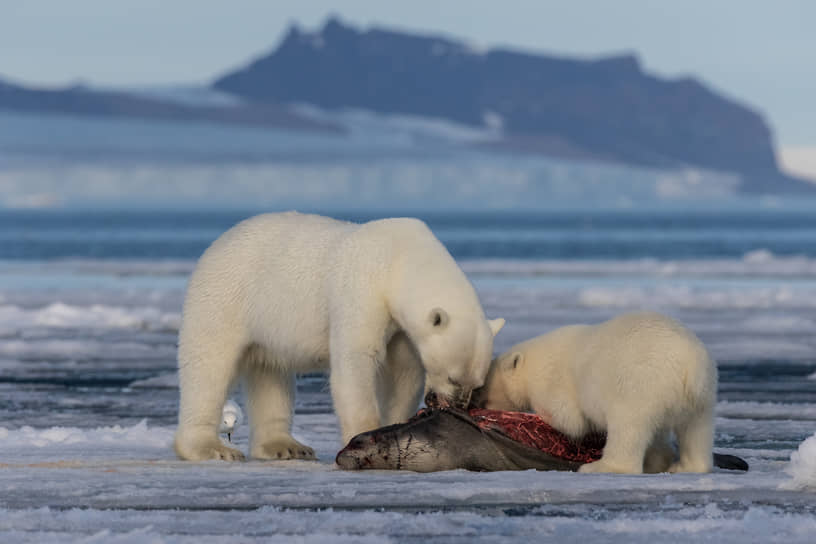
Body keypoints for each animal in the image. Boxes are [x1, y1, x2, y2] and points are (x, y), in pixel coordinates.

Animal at [175, 211, 500, 460]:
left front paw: (396, 430)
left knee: (270, 374)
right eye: (453, 378)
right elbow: (356, 362)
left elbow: (403, 373)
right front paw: (364, 433)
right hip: (226, 298)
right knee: (208, 367)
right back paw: (210, 449)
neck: (401, 259)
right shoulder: (362, 290)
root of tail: (218, 242)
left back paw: (286, 447)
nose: (459, 406)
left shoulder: (401, 327)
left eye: (477, 383)